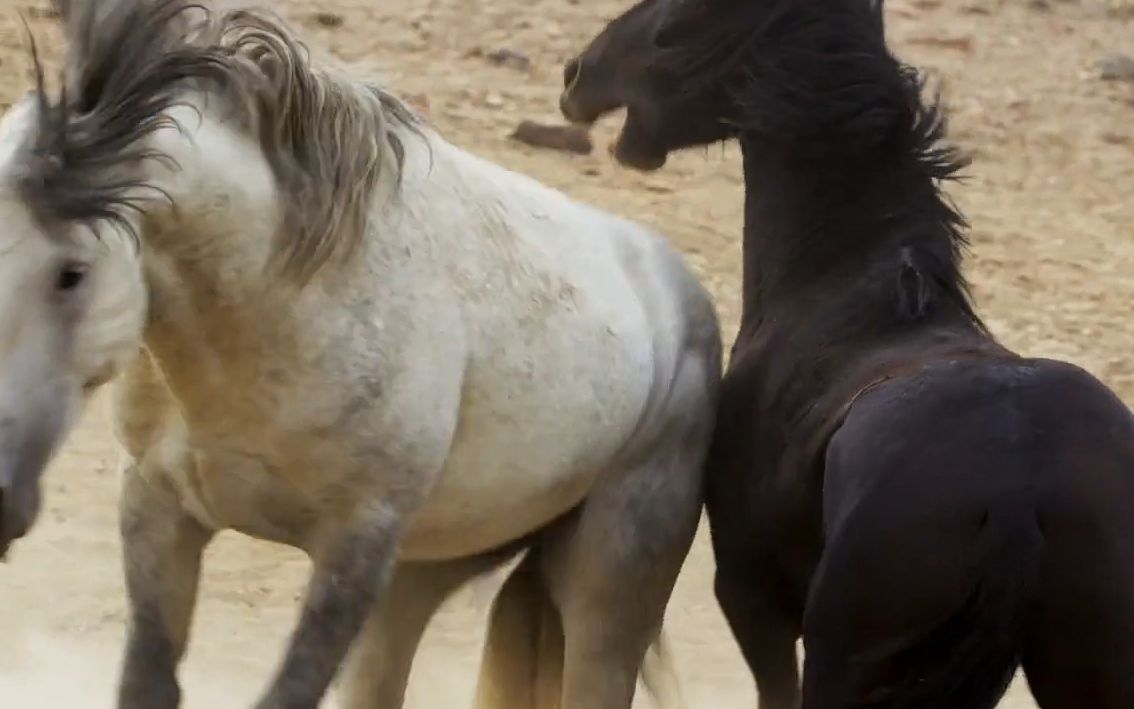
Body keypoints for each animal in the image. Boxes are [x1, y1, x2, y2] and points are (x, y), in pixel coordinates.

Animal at [0, 1, 723, 707]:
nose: (2, 502)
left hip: (607, 592)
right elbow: (149, 681)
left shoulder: (355, 549)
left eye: (71, 273)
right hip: (422, 572)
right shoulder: (158, 508)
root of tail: (686, 295)